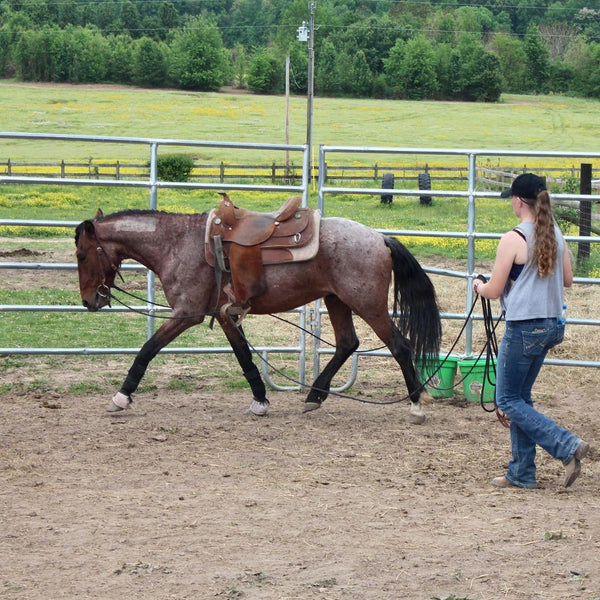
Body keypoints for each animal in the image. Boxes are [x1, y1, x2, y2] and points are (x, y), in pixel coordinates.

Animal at [74, 199, 440, 424]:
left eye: (81, 254)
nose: (90, 301)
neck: (179, 244)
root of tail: (379, 238)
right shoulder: (225, 314)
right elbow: (244, 356)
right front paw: (261, 400)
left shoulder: (187, 313)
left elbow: (148, 349)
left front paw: (121, 396)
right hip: (337, 301)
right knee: (347, 343)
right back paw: (314, 396)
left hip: (367, 304)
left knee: (399, 346)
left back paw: (416, 406)